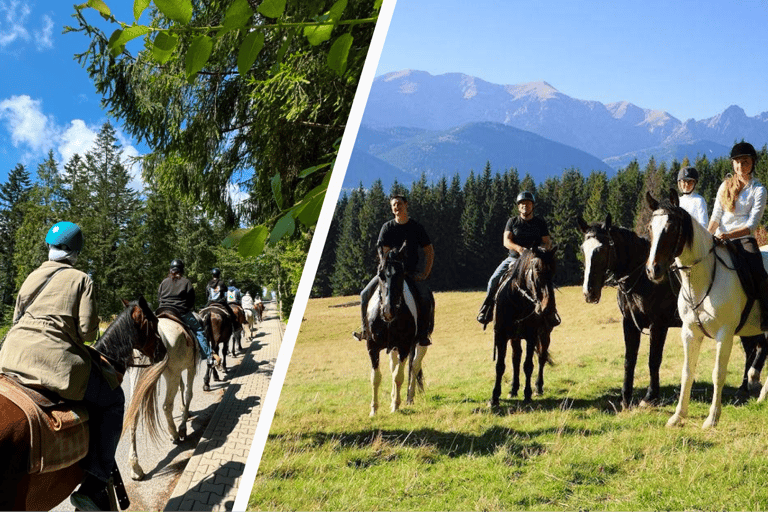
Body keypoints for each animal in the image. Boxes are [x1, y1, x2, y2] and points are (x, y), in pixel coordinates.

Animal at [124, 313, 199, 480]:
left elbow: (183, 388)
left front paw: (184, 411)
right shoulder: (190, 367)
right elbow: (188, 393)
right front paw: (183, 425)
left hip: (137, 374)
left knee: (133, 413)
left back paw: (135, 468)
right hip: (172, 374)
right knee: (166, 405)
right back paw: (174, 433)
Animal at [365, 241, 430, 416]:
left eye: (401, 275)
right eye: (380, 274)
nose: (389, 310)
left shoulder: (404, 346)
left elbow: (399, 376)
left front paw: (395, 405)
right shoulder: (372, 347)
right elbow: (376, 377)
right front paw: (374, 409)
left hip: (420, 343)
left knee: (414, 366)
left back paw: (409, 397)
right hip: (393, 348)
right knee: (395, 366)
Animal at [490, 246, 557, 407]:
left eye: (553, 272)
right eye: (537, 270)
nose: (548, 310)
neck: (518, 301)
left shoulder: (531, 336)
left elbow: (528, 365)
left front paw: (527, 394)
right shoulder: (501, 336)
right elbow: (500, 366)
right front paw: (494, 397)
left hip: (544, 335)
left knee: (541, 357)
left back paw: (538, 387)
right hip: (514, 338)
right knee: (516, 358)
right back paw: (513, 389)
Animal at [646, 189, 768, 428]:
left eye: (671, 227)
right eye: (650, 227)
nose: (652, 270)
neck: (702, 279)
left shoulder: (725, 334)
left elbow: (718, 374)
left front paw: (712, 418)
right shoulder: (690, 332)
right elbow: (687, 372)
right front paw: (678, 416)